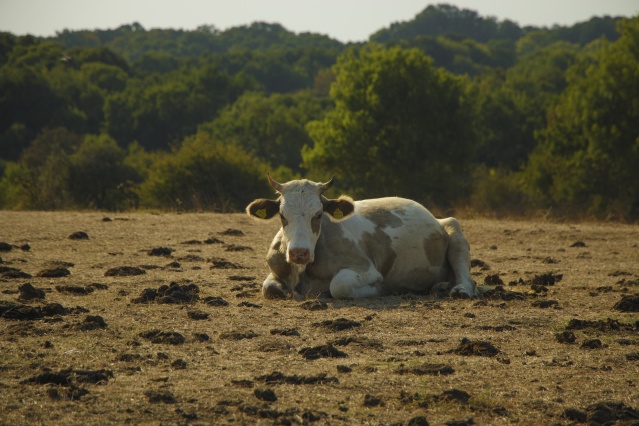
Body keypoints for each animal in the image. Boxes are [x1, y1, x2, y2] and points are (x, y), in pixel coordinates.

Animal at [248, 175, 478, 302]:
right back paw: (441, 286)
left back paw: (459, 290)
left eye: (318, 214)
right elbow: (268, 288)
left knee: (468, 279)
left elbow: (339, 285)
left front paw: (381, 289)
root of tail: (435, 218)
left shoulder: (366, 269)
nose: (299, 253)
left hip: (454, 230)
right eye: (282, 215)